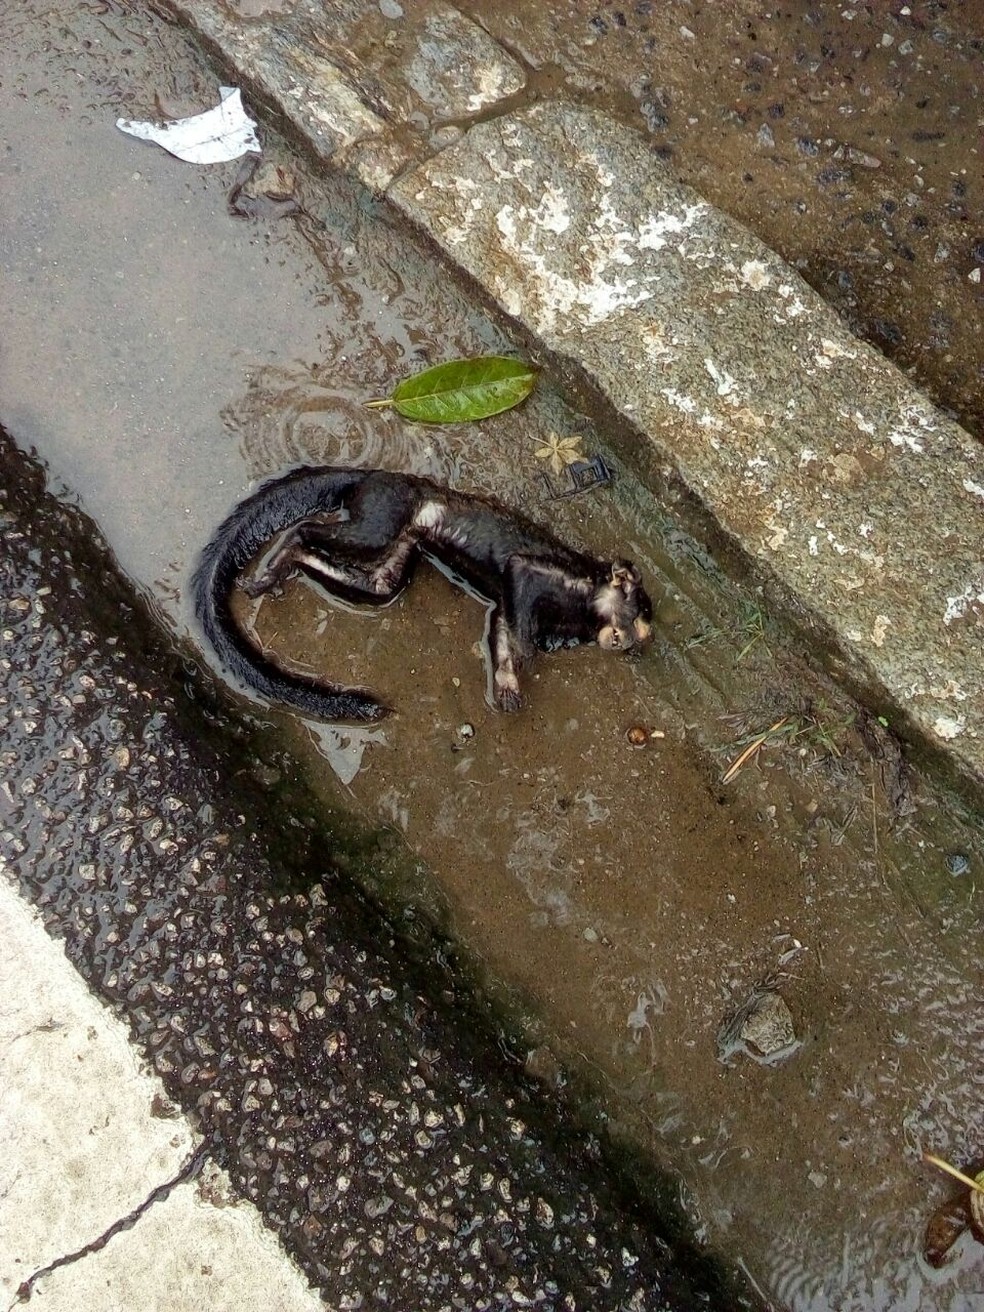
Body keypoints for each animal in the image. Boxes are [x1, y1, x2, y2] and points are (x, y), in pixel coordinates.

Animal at [193, 465, 653, 722]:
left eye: (639, 635)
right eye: (631, 621)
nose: (623, 643)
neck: (580, 602)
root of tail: (374, 476)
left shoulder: (509, 605)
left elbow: (500, 627)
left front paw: (507, 687)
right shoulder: (540, 571)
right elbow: (517, 587)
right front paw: (527, 652)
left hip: (402, 547)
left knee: (378, 585)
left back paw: (285, 567)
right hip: (384, 512)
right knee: (312, 530)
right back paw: (277, 562)